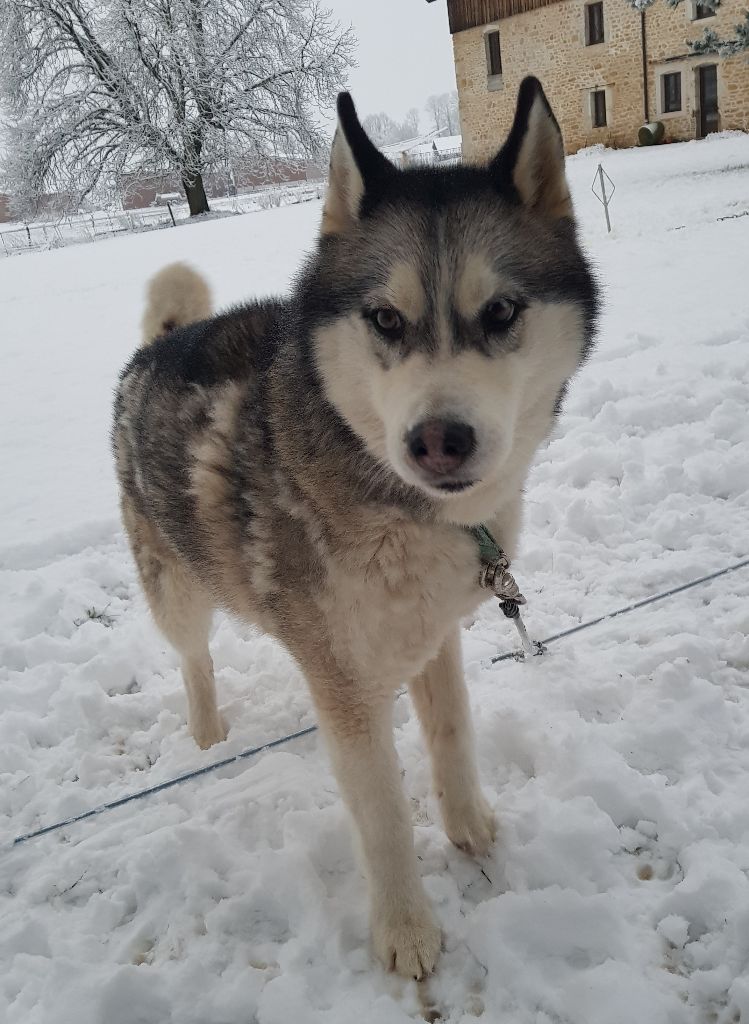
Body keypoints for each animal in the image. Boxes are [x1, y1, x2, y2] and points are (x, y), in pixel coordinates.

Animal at [112, 77, 598, 974]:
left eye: (500, 310)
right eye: (384, 319)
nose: (437, 439)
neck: (401, 503)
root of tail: (161, 343)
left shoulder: (433, 635)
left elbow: (451, 733)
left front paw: (469, 827)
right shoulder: (343, 685)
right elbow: (381, 819)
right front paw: (406, 932)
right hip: (176, 586)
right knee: (193, 658)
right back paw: (208, 735)